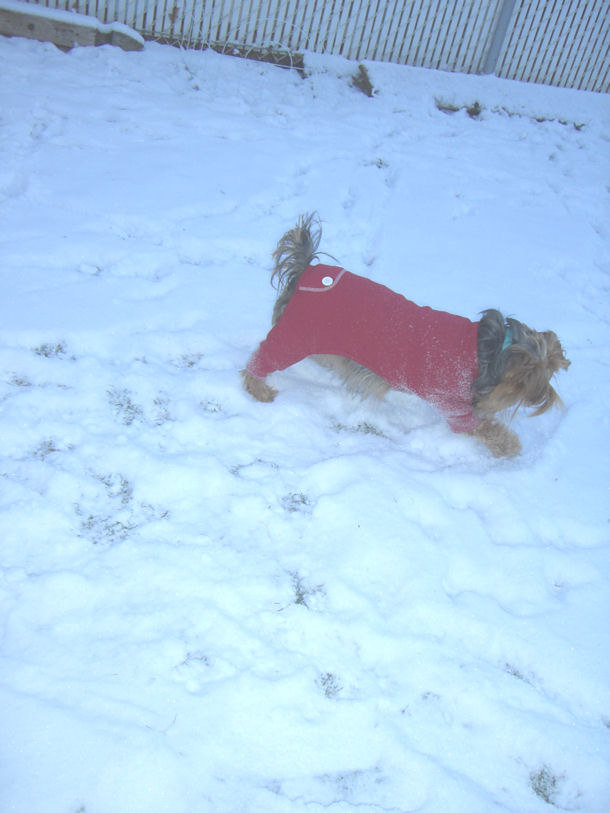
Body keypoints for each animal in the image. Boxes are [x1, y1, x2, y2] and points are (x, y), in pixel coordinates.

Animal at [242, 214, 570, 457]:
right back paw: (258, 389)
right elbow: (485, 429)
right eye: (528, 383)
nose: (541, 398)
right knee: (260, 359)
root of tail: (305, 269)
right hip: (294, 336)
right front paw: (511, 447)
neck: (489, 352)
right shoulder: (452, 405)